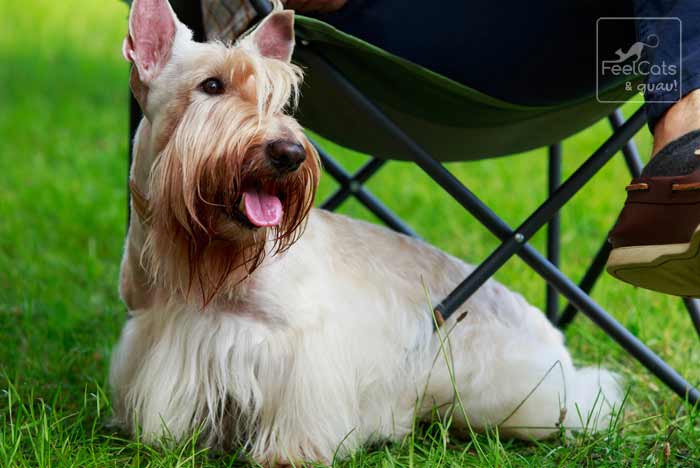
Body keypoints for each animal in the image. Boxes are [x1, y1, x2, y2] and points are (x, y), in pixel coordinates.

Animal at [110, 1, 624, 466]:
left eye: (280, 100)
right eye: (211, 85)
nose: (290, 154)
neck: (202, 254)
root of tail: (551, 336)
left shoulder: (299, 345)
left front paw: (291, 454)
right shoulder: (155, 331)